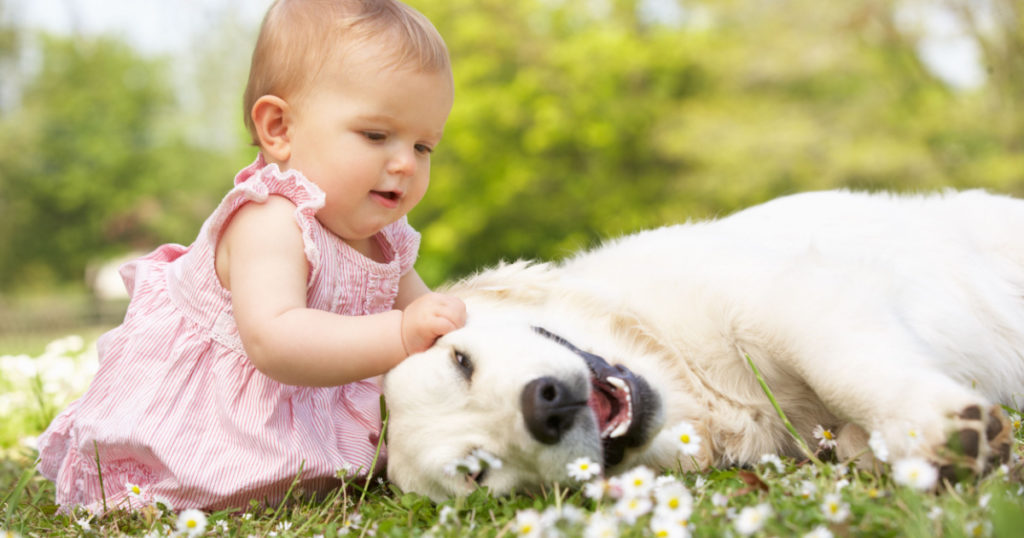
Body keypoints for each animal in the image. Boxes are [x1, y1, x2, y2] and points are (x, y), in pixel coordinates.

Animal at [380, 188, 1019, 500]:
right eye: (476, 472)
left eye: (461, 361)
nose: (545, 407)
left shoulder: (789, 297)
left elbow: (845, 370)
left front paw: (932, 428)